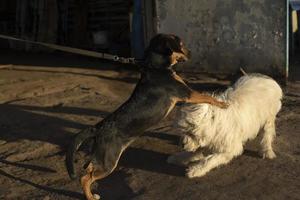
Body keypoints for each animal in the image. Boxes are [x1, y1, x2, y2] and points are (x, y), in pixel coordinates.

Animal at [64, 33, 226, 199]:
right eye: (181, 44)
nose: (191, 53)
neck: (155, 66)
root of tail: (98, 128)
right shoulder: (187, 93)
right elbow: (208, 98)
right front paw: (222, 104)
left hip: (102, 158)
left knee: (88, 168)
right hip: (109, 162)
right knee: (85, 178)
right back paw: (90, 196)